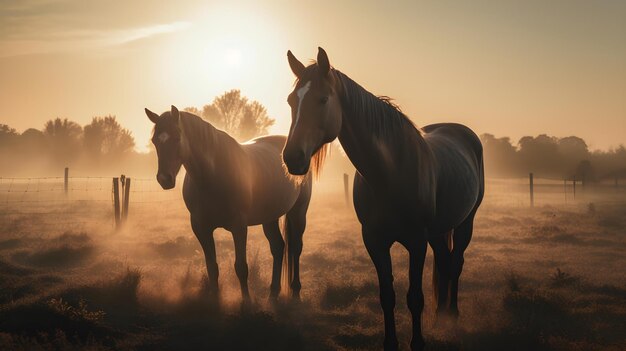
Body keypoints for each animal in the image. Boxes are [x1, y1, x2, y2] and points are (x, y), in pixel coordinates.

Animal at [144, 106, 314, 300]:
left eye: (177, 138)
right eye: (155, 141)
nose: (164, 179)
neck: (212, 175)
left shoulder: (239, 226)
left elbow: (241, 267)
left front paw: (246, 303)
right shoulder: (201, 227)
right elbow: (212, 268)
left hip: (298, 212)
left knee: (296, 248)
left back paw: (295, 291)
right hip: (269, 217)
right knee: (278, 247)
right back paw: (273, 293)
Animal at [282, 48, 482, 350]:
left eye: (323, 99)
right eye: (291, 100)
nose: (292, 157)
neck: (390, 171)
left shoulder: (417, 241)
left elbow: (415, 297)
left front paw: (417, 343)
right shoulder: (374, 240)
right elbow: (387, 295)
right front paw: (391, 343)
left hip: (464, 223)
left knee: (456, 263)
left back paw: (453, 316)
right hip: (438, 231)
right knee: (445, 263)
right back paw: (441, 317)